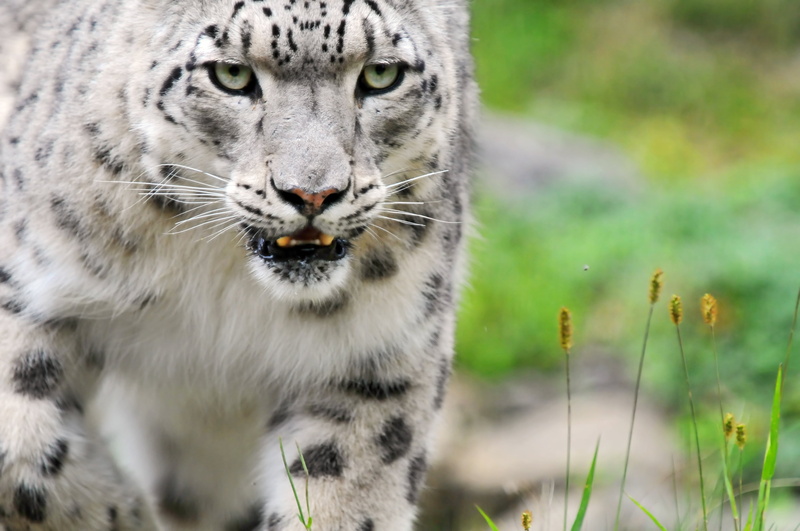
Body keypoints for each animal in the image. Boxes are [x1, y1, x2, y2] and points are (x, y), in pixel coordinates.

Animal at [0, 0, 477, 529]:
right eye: (232, 74)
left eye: (380, 74)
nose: (313, 193)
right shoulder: (31, 285)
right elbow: (21, 446)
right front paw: (125, 511)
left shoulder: (378, 357)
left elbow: (340, 497)